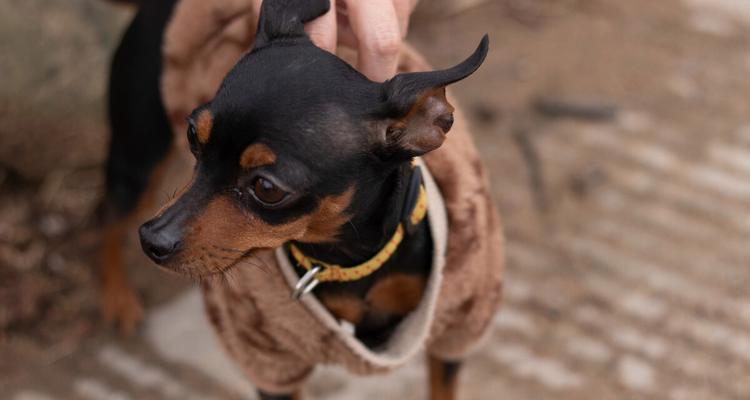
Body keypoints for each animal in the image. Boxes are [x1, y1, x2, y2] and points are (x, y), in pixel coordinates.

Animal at [97, 0, 502, 400]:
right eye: (194, 136)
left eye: (267, 188)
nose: (152, 240)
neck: (347, 259)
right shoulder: (271, 363)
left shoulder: (452, 335)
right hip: (137, 162)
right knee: (107, 221)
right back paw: (118, 301)